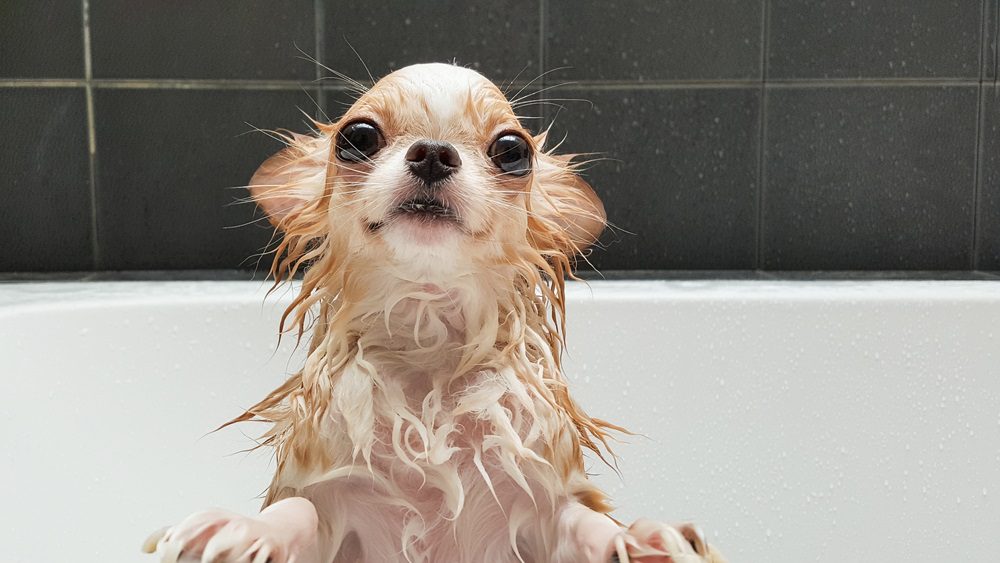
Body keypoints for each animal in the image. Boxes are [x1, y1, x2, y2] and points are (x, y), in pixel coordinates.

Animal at [146, 62, 728, 563]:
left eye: (511, 150)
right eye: (359, 137)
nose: (432, 152)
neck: (427, 348)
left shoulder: (543, 509)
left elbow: (585, 525)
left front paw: (646, 538)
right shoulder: (331, 506)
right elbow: (297, 514)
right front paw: (242, 530)